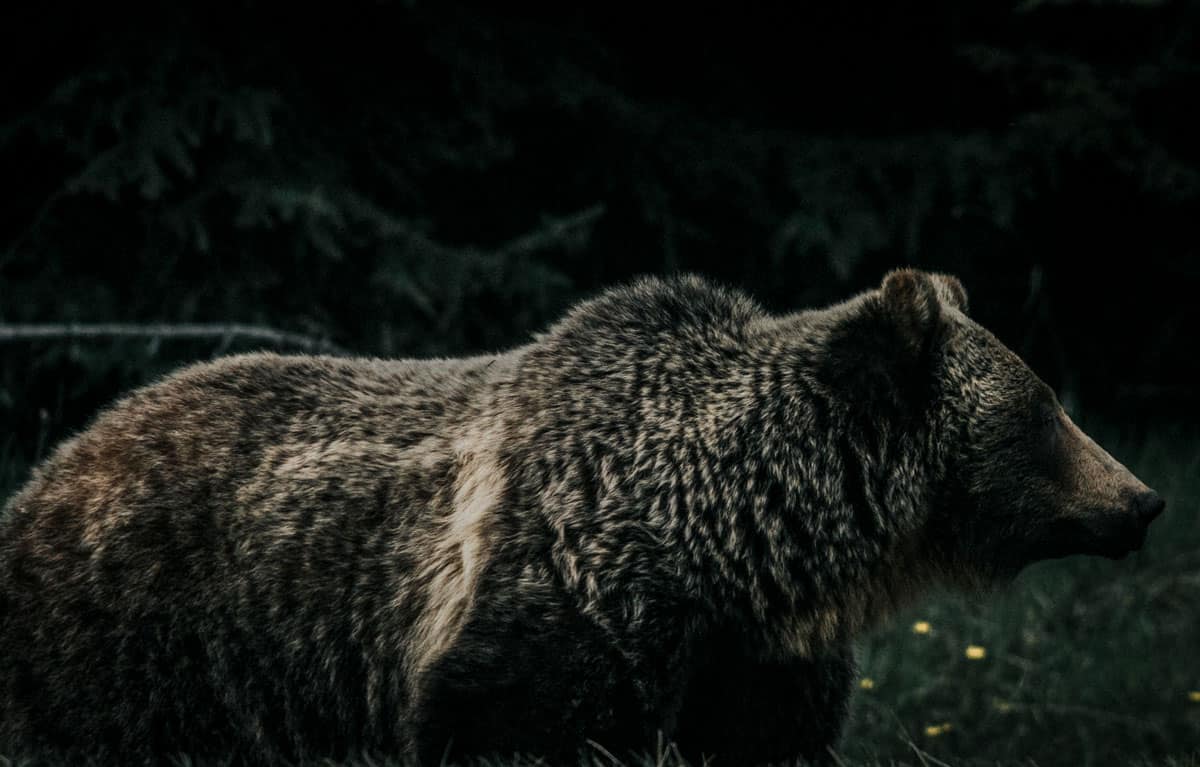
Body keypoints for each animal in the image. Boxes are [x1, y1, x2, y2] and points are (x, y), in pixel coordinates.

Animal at [0, 268, 1161, 763]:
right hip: (152, 639)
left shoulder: (751, 661)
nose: (1143, 499)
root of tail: (56, 461)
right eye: (1043, 408)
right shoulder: (559, 603)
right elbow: (515, 720)